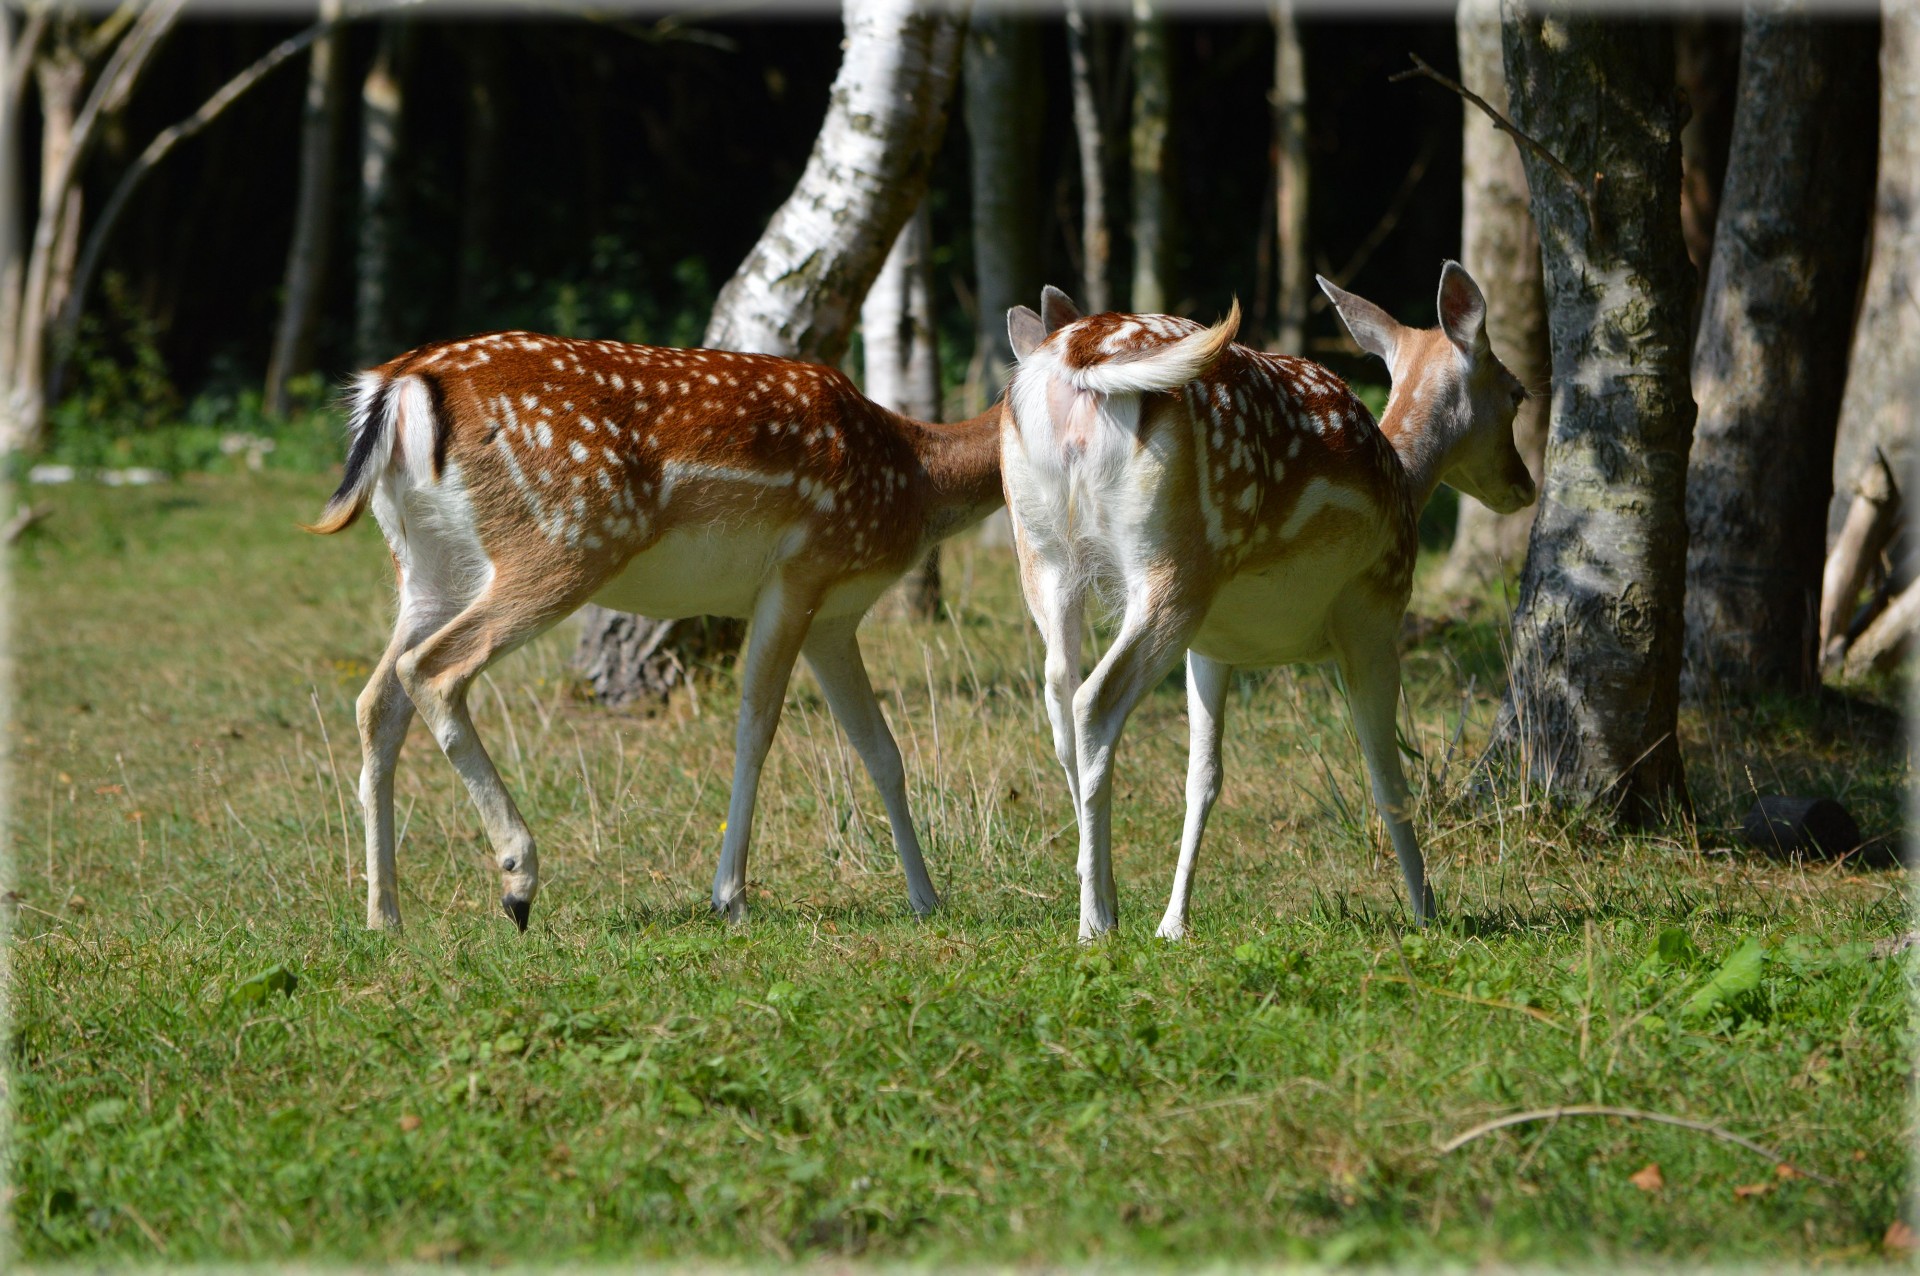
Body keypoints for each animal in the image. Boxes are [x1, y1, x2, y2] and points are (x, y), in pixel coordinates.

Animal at [311, 328, 1006, 932]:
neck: (914, 480)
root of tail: (399, 383)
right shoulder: (800, 574)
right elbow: (757, 729)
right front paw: (731, 899)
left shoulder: (835, 619)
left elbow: (880, 750)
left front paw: (927, 899)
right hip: (565, 542)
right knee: (432, 669)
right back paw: (517, 880)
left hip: (428, 568)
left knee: (376, 700)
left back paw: (385, 918)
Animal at [1006, 260, 1528, 936]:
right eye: (1517, 393)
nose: (1524, 484)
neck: (1406, 486)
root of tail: (1078, 357)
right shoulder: (1374, 616)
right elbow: (1386, 775)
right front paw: (1428, 912)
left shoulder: (1215, 646)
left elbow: (1203, 777)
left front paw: (1173, 922)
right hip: (1177, 568)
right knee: (1095, 699)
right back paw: (1094, 922)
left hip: (1044, 554)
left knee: (1058, 694)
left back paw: (1102, 893)